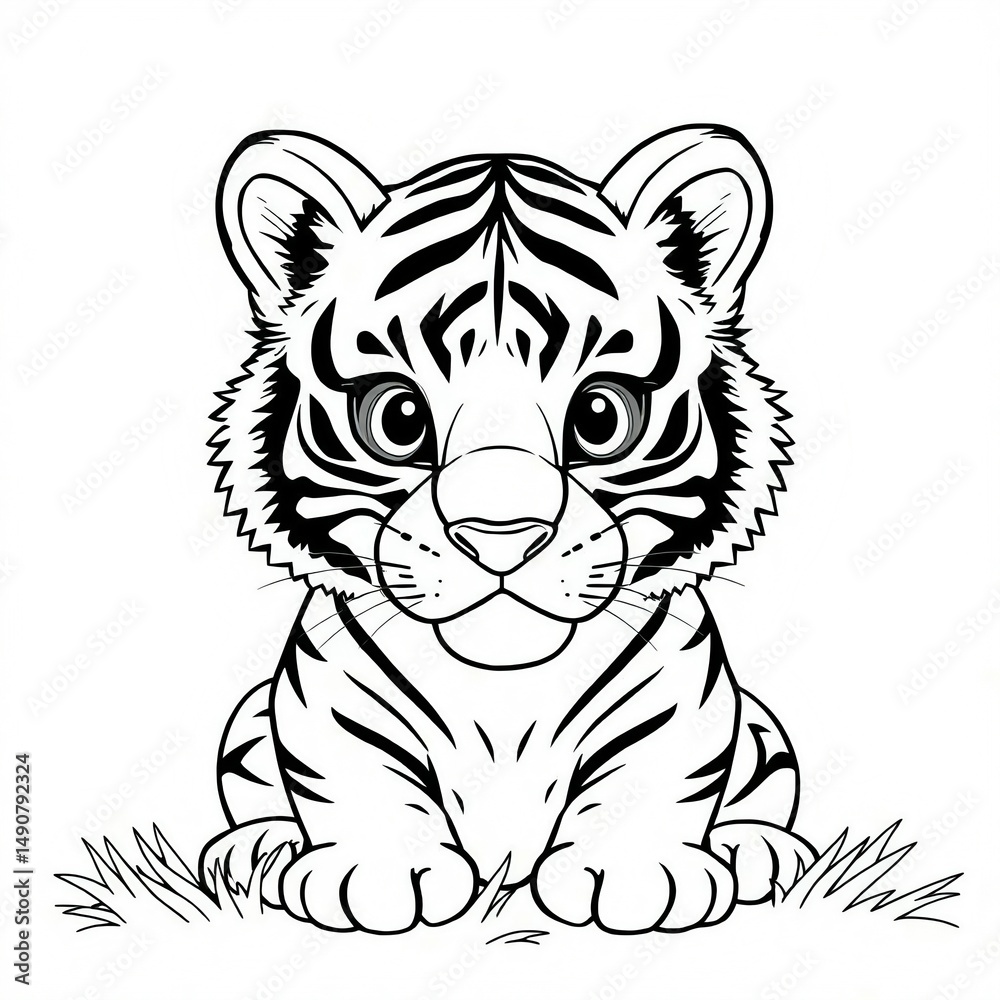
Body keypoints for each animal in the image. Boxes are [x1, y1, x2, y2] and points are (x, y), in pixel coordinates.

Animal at [198, 125, 816, 935]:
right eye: (397, 417)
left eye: (602, 417)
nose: (500, 531)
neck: (503, 690)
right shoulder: (325, 688)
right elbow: (349, 764)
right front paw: (378, 875)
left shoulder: (681, 684)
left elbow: (659, 761)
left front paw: (637, 876)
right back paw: (256, 851)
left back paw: (759, 850)